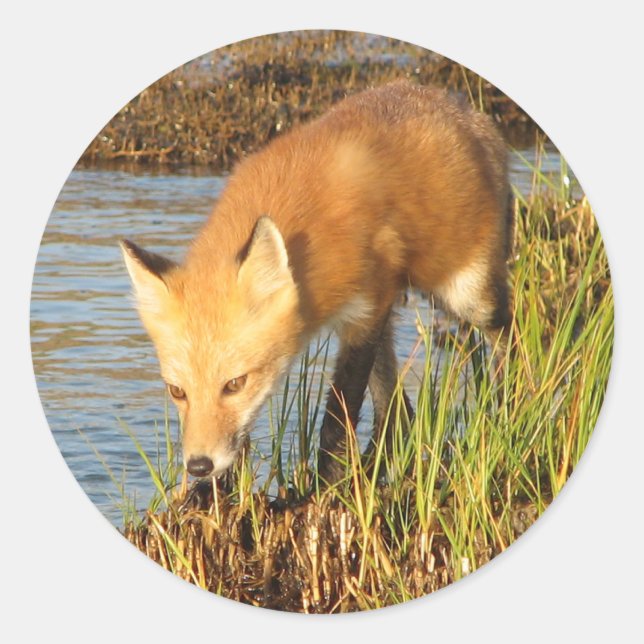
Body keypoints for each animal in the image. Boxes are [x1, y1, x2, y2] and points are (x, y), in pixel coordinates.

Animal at [121, 80, 514, 484]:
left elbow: (338, 418)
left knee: (507, 339)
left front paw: (325, 485)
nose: (198, 465)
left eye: (234, 384)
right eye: (176, 391)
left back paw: (512, 409)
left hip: (469, 295)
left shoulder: (364, 312)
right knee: (398, 413)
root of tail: (461, 107)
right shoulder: (370, 314)